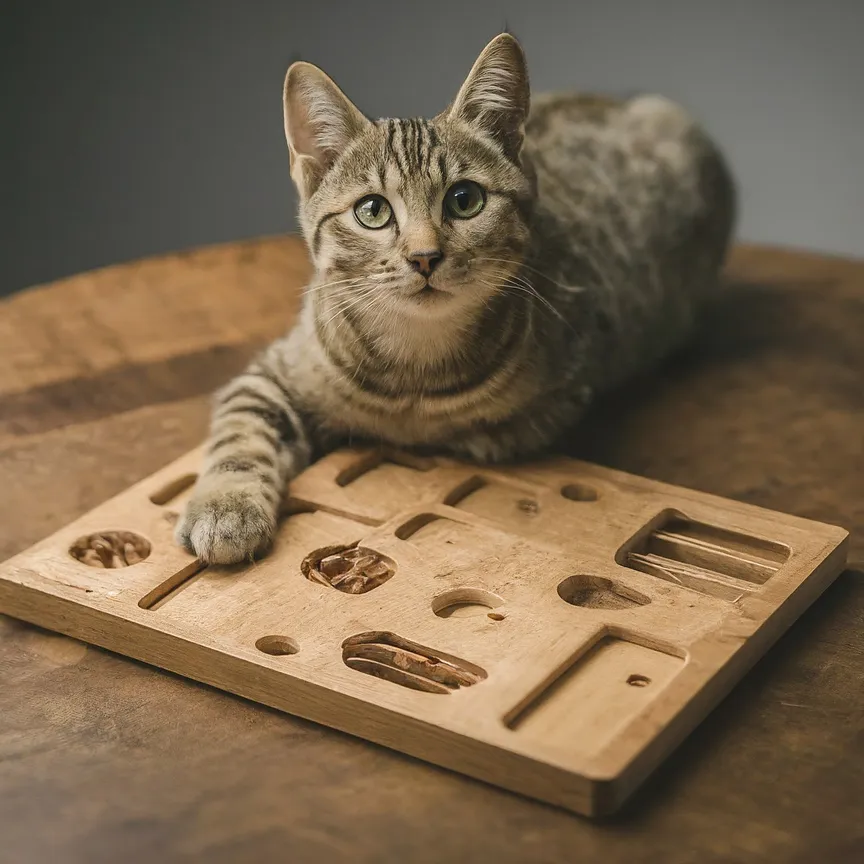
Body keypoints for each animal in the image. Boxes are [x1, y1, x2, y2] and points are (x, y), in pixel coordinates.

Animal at [176, 32, 736, 568]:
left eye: (465, 200)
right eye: (372, 211)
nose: (425, 256)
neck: (414, 365)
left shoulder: (569, 386)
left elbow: (484, 434)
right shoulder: (275, 369)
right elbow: (239, 430)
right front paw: (225, 507)